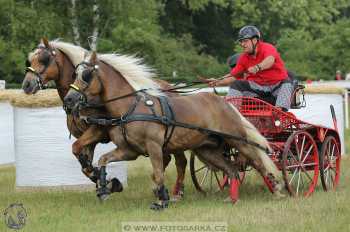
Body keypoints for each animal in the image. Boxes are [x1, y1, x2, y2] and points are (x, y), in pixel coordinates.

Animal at [21, 38, 186, 198]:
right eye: (30, 60)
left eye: (44, 59)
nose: (26, 84)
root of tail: (171, 88)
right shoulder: (86, 138)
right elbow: (82, 159)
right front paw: (103, 181)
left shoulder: (97, 131)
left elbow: (77, 149)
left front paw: (107, 182)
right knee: (168, 159)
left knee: (180, 161)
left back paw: (177, 192)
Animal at [64, 51, 286, 209]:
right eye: (74, 74)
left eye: (86, 75)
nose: (68, 99)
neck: (130, 107)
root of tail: (223, 102)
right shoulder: (129, 151)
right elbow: (103, 160)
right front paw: (105, 187)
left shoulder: (153, 147)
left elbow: (158, 173)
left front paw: (161, 200)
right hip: (208, 150)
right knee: (231, 170)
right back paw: (233, 199)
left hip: (237, 140)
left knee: (258, 162)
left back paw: (277, 189)